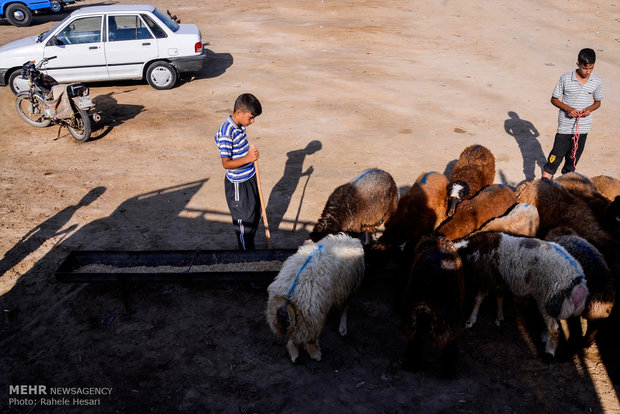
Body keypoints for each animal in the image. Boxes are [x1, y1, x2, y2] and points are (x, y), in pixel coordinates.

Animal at [266, 233, 364, 362]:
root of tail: (288, 299)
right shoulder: (348, 289)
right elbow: (345, 309)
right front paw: (343, 328)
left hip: (291, 320)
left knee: (292, 337)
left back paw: (294, 355)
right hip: (309, 320)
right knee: (308, 340)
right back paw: (316, 355)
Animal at [452, 231, 588, 358]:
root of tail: (578, 280)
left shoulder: (486, 279)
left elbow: (477, 300)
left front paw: (470, 321)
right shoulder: (501, 281)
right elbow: (499, 298)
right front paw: (499, 318)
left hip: (546, 299)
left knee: (554, 329)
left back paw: (549, 352)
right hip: (560, 305)